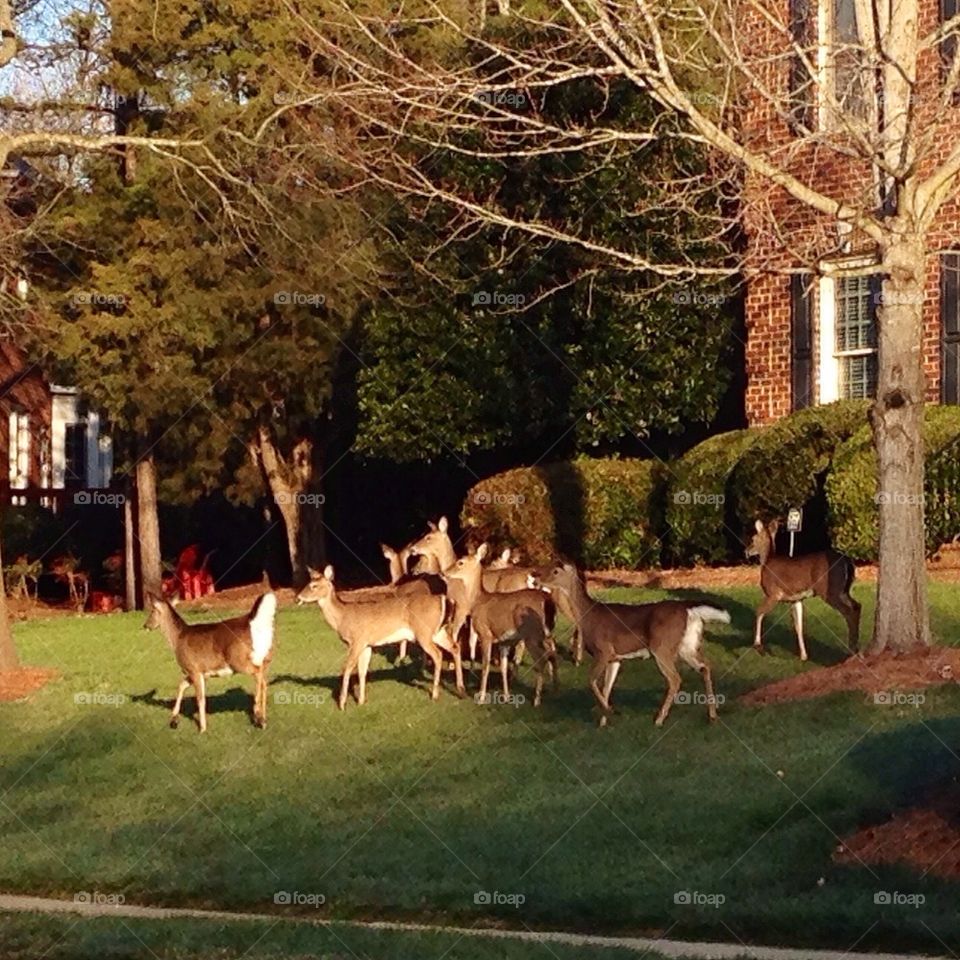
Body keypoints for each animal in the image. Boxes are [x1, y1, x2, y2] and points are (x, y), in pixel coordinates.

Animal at [143, 591, 277, 733]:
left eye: (152, 610)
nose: (145, 625)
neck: (177, 639)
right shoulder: (199, 671)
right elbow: (182, 686)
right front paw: (174, 720)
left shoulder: (194, 669)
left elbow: (200, 699)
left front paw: (202, 728)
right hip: (266, 657)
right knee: (264, 681)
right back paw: (262, 720)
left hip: (238, 660)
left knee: (259, 676)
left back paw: (258, 714)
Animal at [297, 566, 465, 708]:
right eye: (308, 583)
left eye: (314, 586)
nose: (299, 596)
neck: (343, 616)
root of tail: (443, 599)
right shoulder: (367, 645)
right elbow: (362, 670)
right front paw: (361, 701)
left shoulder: (357, 640)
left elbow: (347, 667)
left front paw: (342, 703)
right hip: (437, 632)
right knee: (455, 647)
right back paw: (460, 689)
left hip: (423, 632)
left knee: (438, 655)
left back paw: (435, 694)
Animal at [443, 544, 558, 707]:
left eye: (460, 562)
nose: (445, 572)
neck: (478, 600)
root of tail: (547, 600)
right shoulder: (504, 641)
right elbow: (503, 667)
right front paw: (506, 696)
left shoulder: (485, 634)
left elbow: (485, 666)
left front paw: (481, 698)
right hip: (546, 632)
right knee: (553, 653)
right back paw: (555, 690)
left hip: (532, 634)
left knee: (541, 660)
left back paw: (536, 700)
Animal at [536, 564, 728, 727]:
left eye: (555, 571)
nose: (536, 576)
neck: (588, 616)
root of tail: (689, 610)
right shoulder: (615, 658)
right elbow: (606, 687)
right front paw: (603, 722)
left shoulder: (603, 650)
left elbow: (591, 680)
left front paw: (610, 711)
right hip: (688, 645)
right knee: (705, 667)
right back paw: (713, 715)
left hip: (662, 647)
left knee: (675, 679)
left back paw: (659, 719)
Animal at [745, 518, 861, 661]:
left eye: (753, 538)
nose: (746, 551)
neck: (767, 561)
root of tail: (847, 561)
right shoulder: (796, 599)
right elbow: (798, 625)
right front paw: (804, 655)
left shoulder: (774, 594)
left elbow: (759, 611)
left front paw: (757, 645)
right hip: (843, 590)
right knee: (857, 606)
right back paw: (856, 648)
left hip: (830, 590)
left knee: (849, 612)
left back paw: (851, 651)